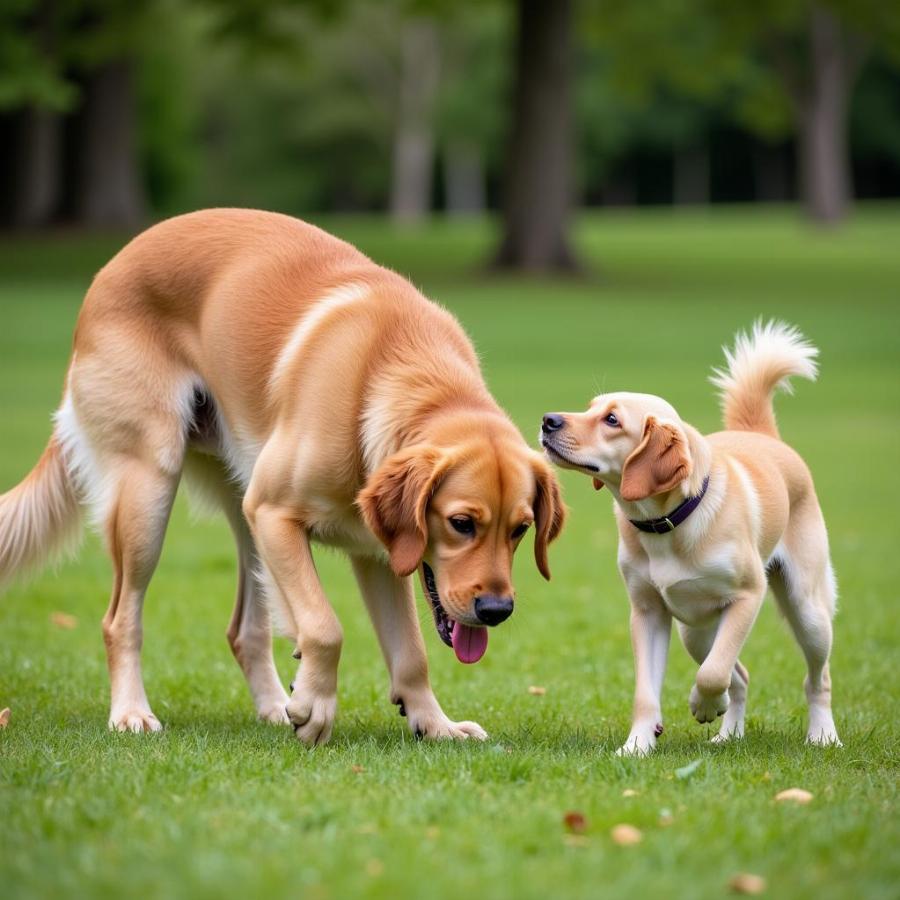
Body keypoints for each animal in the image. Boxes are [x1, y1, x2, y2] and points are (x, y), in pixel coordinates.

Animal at [1, 209, 564, 744]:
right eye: (462, 523)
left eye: (520, 529)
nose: (496, 610)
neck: (395, 373)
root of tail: (107, 272)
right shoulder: (277, 514)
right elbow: (325, 627)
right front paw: (316, 704)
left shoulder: (378, 552)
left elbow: (411, 652)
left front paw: (434, 723)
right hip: (150, 495)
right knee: (120, 619)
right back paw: (132, 712)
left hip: (244, 510)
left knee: (244, 632)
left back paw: (273, 708)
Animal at [540, 320, 844, 756]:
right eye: (590, 407)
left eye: (612, 420)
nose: (548, 420)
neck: (667, 522)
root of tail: (760, 434)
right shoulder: (648, 612)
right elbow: (648, 692)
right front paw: (637, 745)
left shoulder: (747, 597)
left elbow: (714, 673)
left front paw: (702, 704)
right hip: (694, 631)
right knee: (741, 675)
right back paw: (729, 733)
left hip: (808, 610)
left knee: (816, 679)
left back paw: (822, 735)